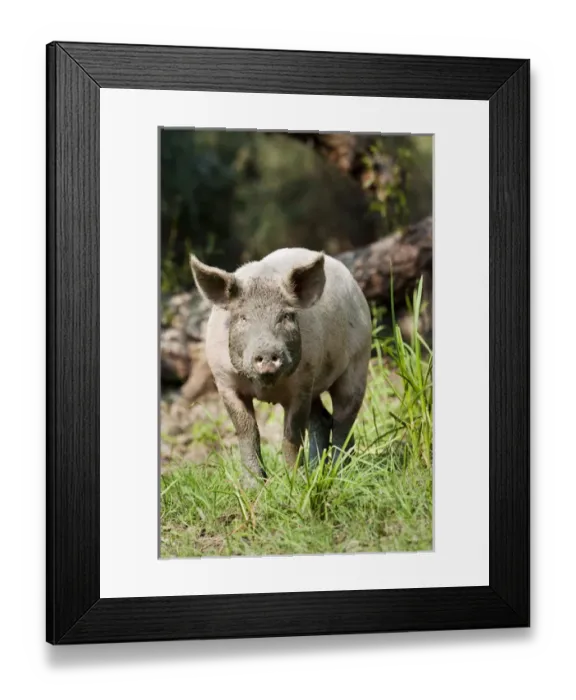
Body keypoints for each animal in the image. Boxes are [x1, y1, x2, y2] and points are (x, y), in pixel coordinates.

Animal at [189, 247, 372, 486]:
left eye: (286, 316)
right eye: (242, 317)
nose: (268, 353)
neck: (266, 387)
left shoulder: (301, 385)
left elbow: (291, 436)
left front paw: (296, 483)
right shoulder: (224, 382)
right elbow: (247, 431)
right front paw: (253, 487)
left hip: (358, 361)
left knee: (344, 418)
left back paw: (340, 473)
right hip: (317, 385)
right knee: (322, 420)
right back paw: (317, 470)